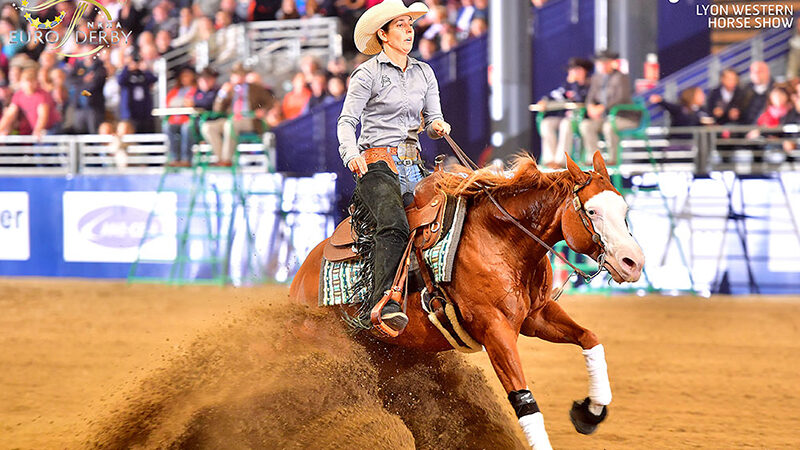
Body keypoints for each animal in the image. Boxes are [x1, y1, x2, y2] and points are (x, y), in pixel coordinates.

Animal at [288, 152, 644, 450]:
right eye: (592, 211)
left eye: (625, 210)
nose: (634, 262)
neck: (499, 239)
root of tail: (301, 277)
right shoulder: (495, 331)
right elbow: (525, 401)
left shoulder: (537, 316)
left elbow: (590, 339)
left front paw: (590, 412)